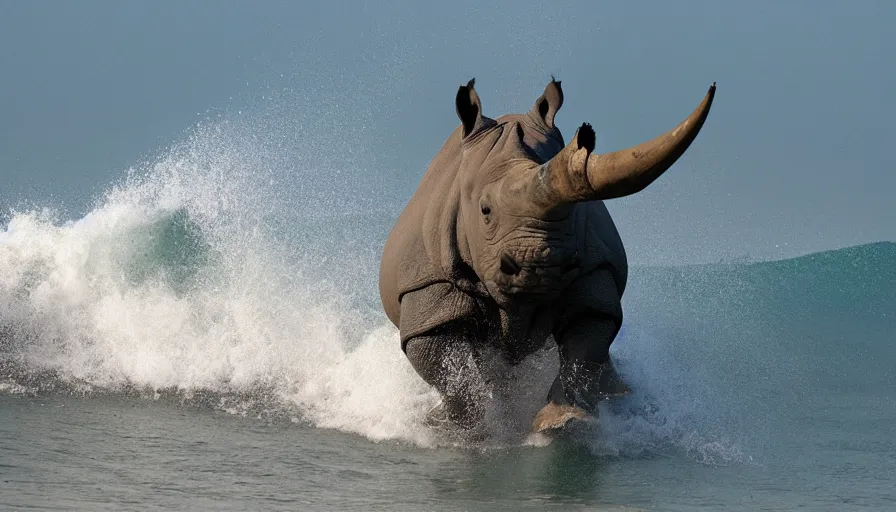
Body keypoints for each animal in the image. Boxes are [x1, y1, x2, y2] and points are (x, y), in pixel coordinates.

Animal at [378, 77, 712, 436]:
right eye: (485, 211)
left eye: (576, 211)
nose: (537, 267)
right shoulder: (427, 287)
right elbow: (449, 371)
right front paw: (461, 429)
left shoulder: (593, 271)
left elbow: (584, 349)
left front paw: (561, 421)